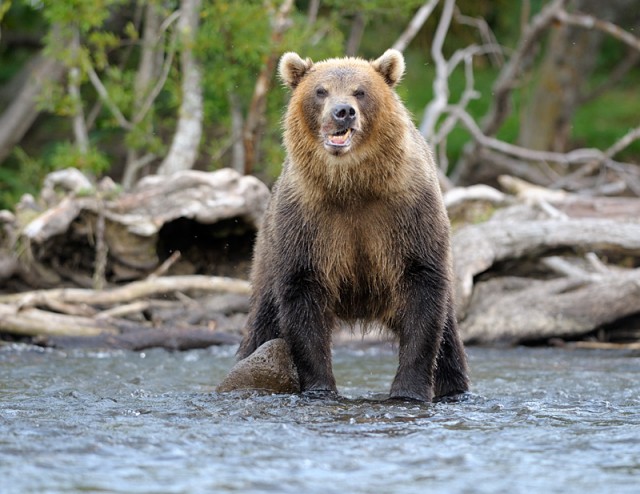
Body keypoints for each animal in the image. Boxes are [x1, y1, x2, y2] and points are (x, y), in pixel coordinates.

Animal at [238, 48, 468, 402]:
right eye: (321, 91)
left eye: (360, 91)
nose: (343, 112)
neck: (352, 185)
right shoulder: (308, 221)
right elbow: (302, 295)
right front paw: (320, 387)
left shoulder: (408, 212)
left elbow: (423, 292)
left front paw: (408, 390)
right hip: (267, 253)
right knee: (263, 327)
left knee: (448, 339)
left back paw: (454, 388)